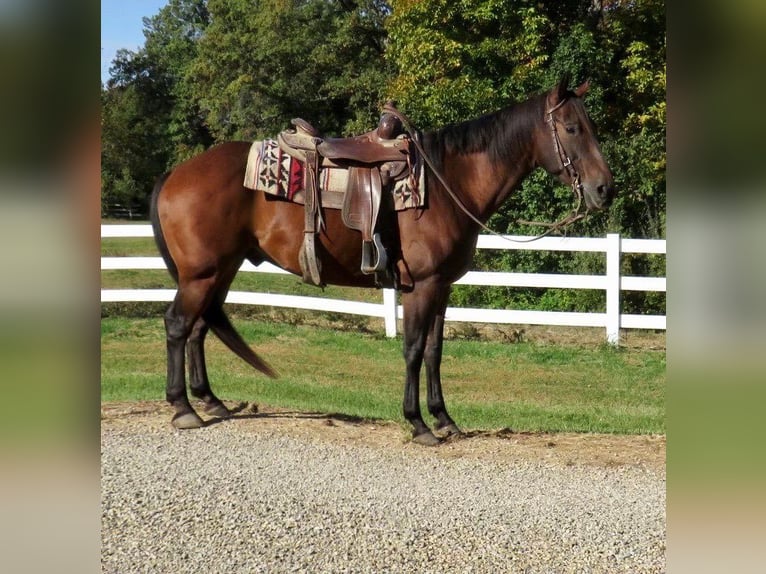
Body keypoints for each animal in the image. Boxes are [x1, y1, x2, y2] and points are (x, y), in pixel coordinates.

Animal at [152, 77, 616, 446]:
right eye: (572, 128)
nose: (604, 189)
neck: (449, 184)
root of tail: (176, 173)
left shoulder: (442, 286)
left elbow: (434, 351)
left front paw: (444, 419)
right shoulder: (420, 286)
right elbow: (412, 349)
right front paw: (418, 424)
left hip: (221, 271)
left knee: (199, 328)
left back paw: (212, 402)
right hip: (202, 273)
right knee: (178, 325)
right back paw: (183, 409)